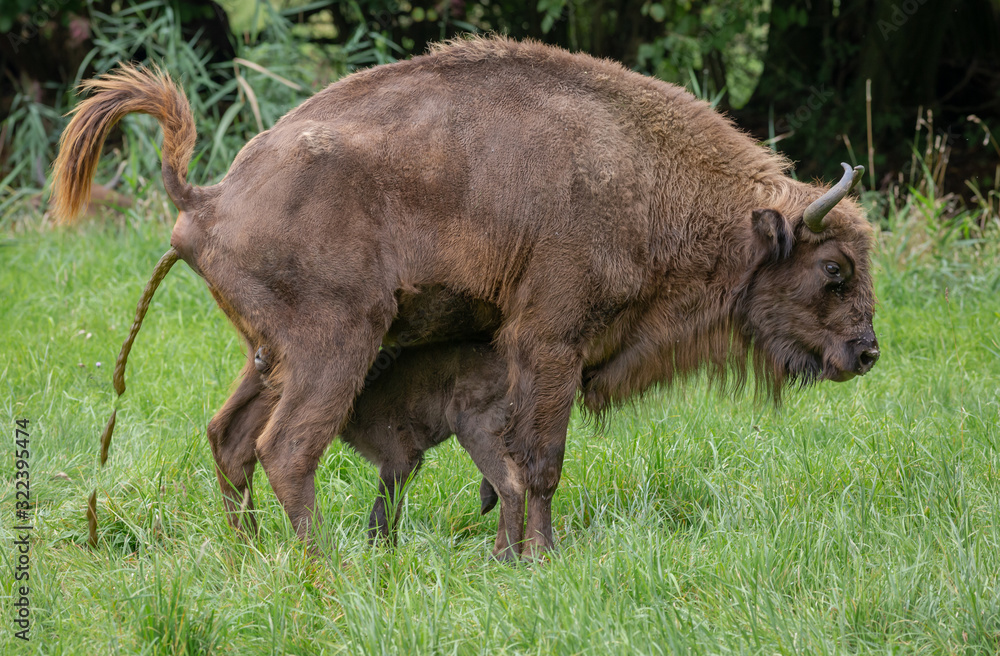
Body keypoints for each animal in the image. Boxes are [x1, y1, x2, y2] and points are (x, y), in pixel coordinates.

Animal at [54, 37, 877, 560]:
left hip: (269, 353)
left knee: (229, 439)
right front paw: (543, 557)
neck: (642, 176)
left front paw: (512, 551)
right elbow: (540, 460)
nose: (867, 353)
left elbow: (511, 461)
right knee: (286, 449)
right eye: (834, 268)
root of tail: (209, 196)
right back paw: (326, 566)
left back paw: (249, 556)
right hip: (335, 346)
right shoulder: (551, 343)